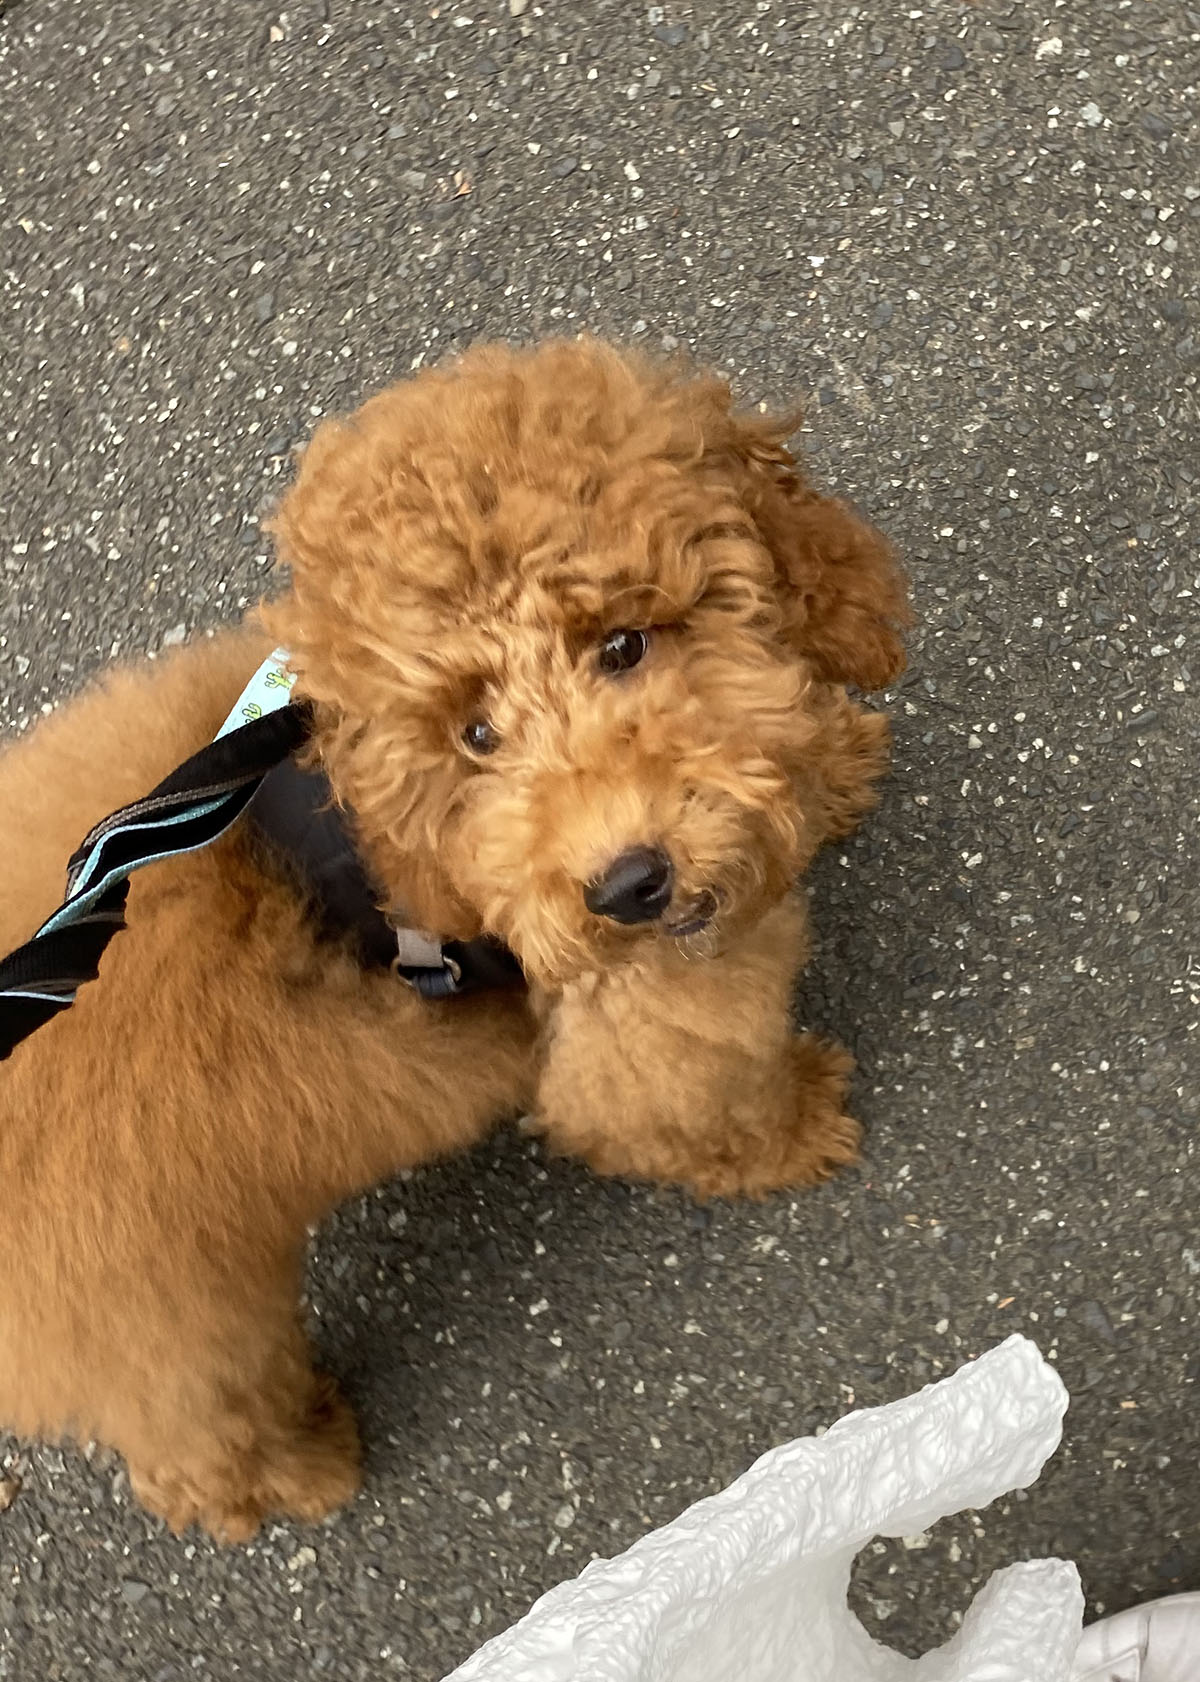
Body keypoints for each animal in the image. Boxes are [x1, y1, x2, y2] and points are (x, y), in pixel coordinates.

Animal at [0, 339, 908, 1540]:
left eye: (624, 643)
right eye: (477, 734)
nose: (629, 885)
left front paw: (829, 766)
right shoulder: (634, 1023)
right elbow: (683, 1101)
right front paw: (796, 1127)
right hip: (170, 1327)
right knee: (201, 1432)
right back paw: (301, 1469)